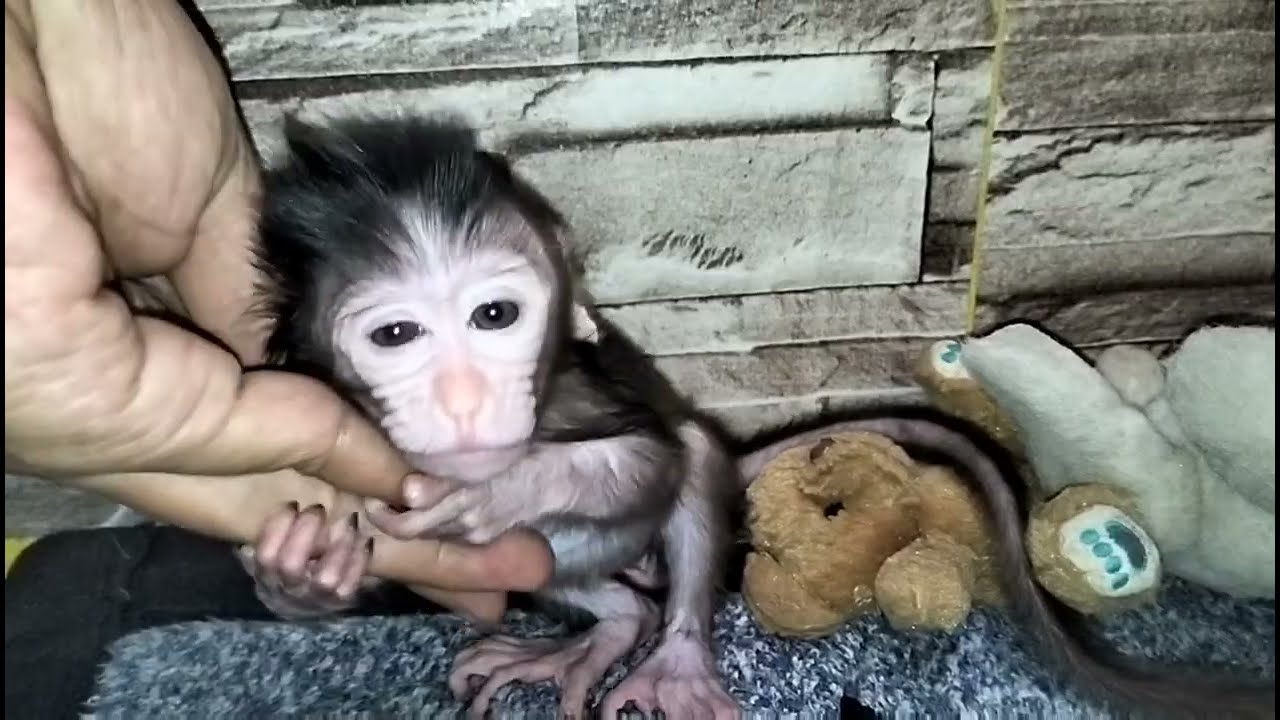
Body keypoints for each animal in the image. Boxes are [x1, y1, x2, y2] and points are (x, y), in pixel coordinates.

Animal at [242, 114, 1273, 720]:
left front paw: (505, 486)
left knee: (698, 456)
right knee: (586, 580)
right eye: (397, 334)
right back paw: (599, 634)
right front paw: (302, 564)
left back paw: (669, 660)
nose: (462, 404)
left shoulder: (576, 393)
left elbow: (651, 461)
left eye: (495, 317)